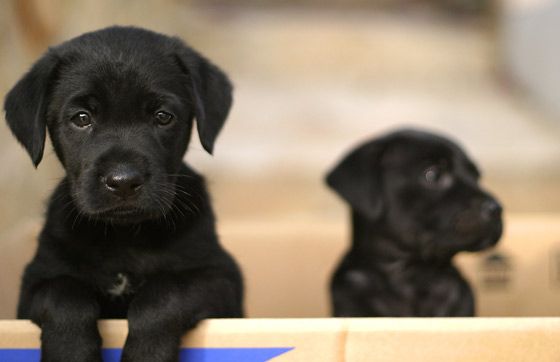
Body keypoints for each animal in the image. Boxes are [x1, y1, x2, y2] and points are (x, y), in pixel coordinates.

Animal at [2, 26, 243, 360]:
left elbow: (164, 293)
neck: (124, 237)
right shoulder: (35, 281)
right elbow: (64, 296)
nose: (124, 181)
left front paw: (145, 354)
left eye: (163, 116)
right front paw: (70, 351)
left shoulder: (220, 276)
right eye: (81, 118)